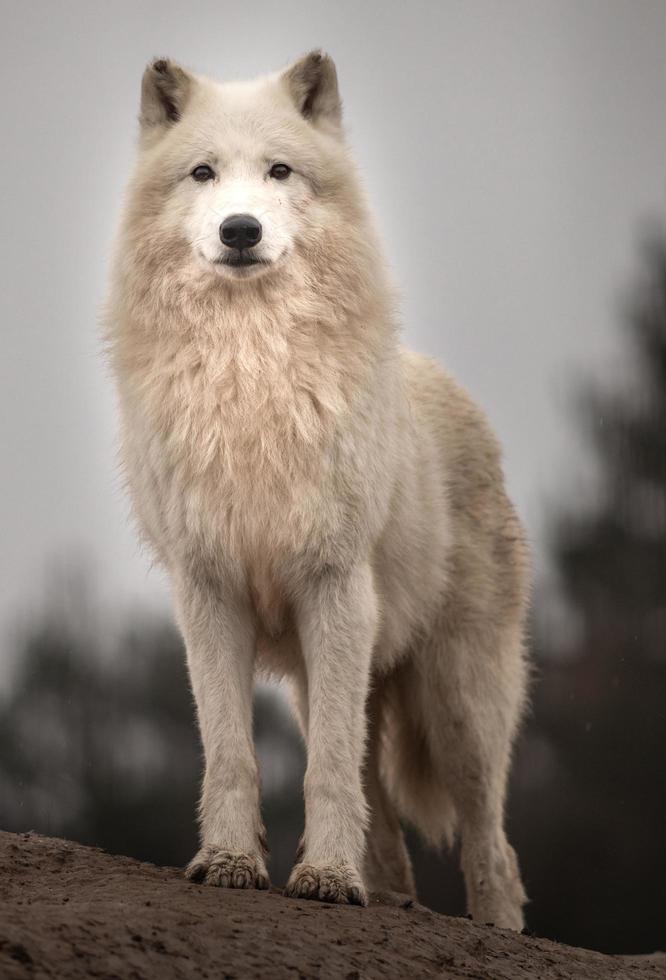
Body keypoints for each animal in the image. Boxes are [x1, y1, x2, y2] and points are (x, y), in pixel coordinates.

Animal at [104, 49, 528, 932]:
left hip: (457, 700)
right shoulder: (209, 592)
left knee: (490, 840)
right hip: (328, 676)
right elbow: (231, 752)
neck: (251, 372)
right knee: (386, 816)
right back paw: (389, 896)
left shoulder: (334, 585)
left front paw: (326, 876)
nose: (240, 229)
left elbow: (325, 769)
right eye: (203, 172)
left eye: (279, 171)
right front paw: (232, 863)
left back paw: (496, 927)